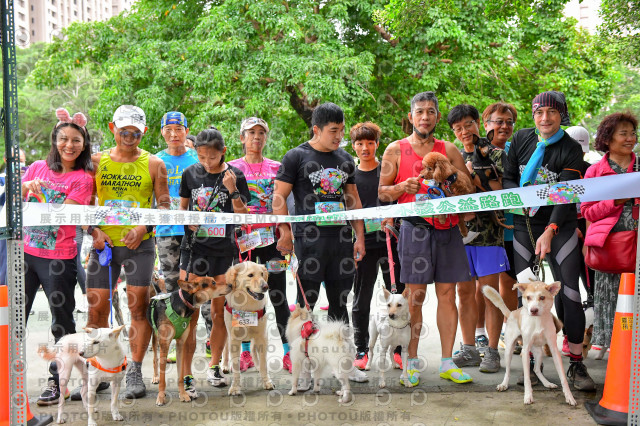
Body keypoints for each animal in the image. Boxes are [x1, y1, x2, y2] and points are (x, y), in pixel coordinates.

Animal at [146, 274, 231, 404]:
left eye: (215, 280)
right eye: (213, 283)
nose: (231, 285)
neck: (182, 304)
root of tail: (159, 292)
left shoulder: (181, 344)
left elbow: (181, 374)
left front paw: (183, 394)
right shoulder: (164, 345)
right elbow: (163, 378)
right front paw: (160, 397)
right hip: (155, 337)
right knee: (155, 359)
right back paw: (155, 377)